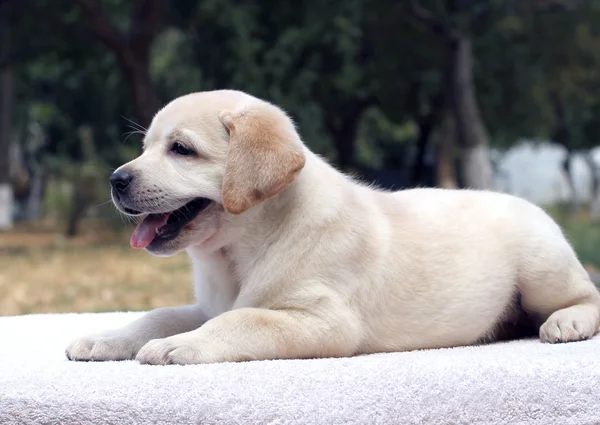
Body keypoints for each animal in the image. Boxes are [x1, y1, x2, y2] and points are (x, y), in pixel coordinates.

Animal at [65, 89, 600, 364]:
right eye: (145, 148)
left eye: (181, 149)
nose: (116, 180)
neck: (244, 248)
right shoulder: (207, 303)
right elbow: (159, 315)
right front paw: (106, 338)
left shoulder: (324, 320)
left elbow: (244, 320)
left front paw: (183, 345)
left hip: (542, 268)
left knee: (586, 294)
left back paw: (567, 321)